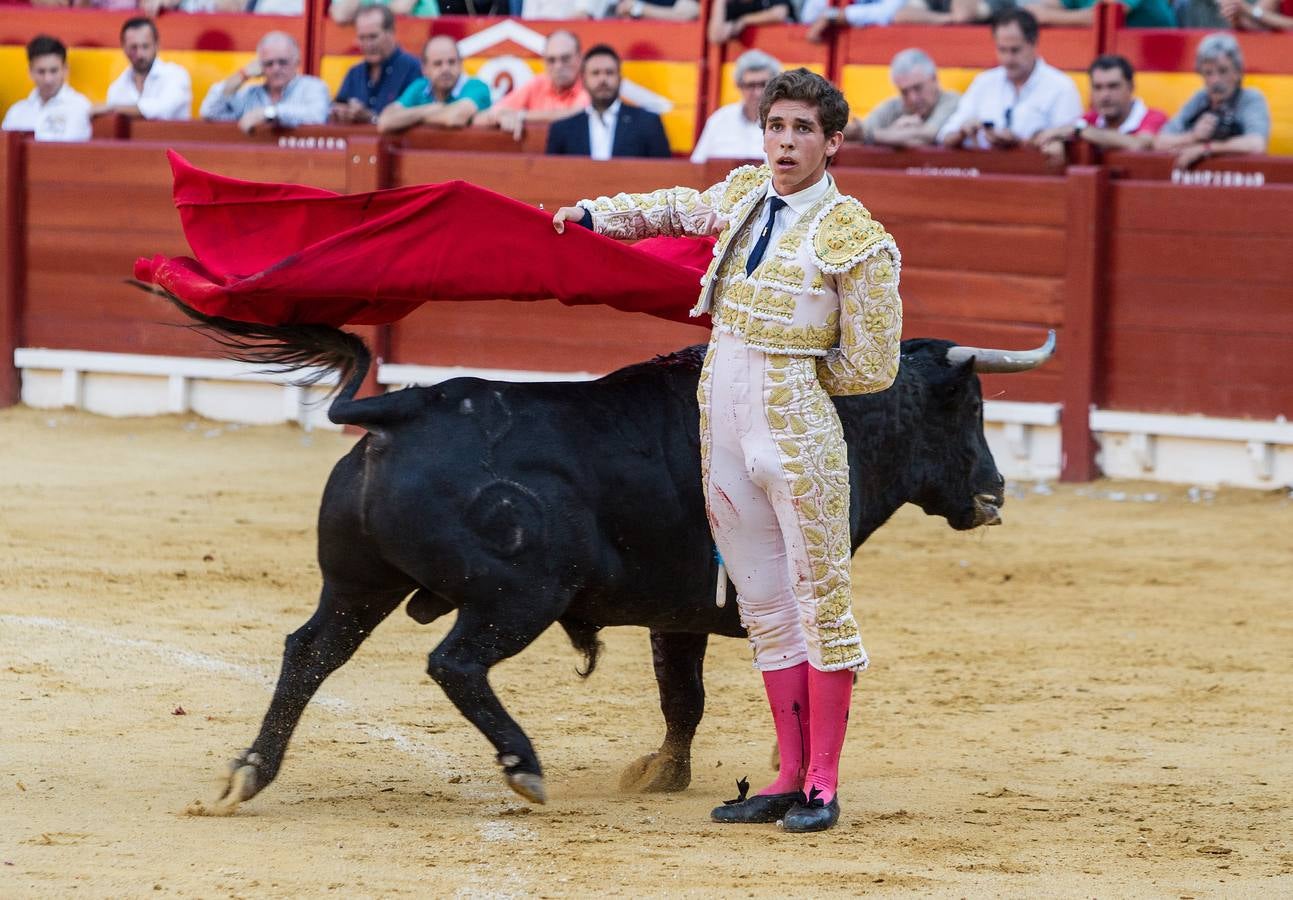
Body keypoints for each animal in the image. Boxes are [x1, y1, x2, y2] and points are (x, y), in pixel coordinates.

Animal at [169, 302, 1049, 817]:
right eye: (968, 406)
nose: (994, 491)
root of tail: (402, 407)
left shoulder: (680, 615)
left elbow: (682, 698)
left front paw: (663, 773)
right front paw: (771, 768)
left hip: (359, 585)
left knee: (309, 652)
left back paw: (249, 772)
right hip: (517, 595)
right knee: (453, 663)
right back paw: (523, 767)